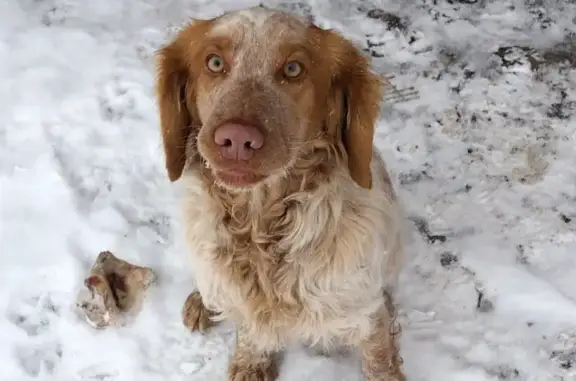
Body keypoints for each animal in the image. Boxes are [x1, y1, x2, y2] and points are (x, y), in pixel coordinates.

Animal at [155, 6, 408, 380]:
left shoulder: (365, 312)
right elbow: (251, 331)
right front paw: (252, 362)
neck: (262, 226)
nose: (237, 138)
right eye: (214, 62)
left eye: (293, 69)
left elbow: (379, 356)